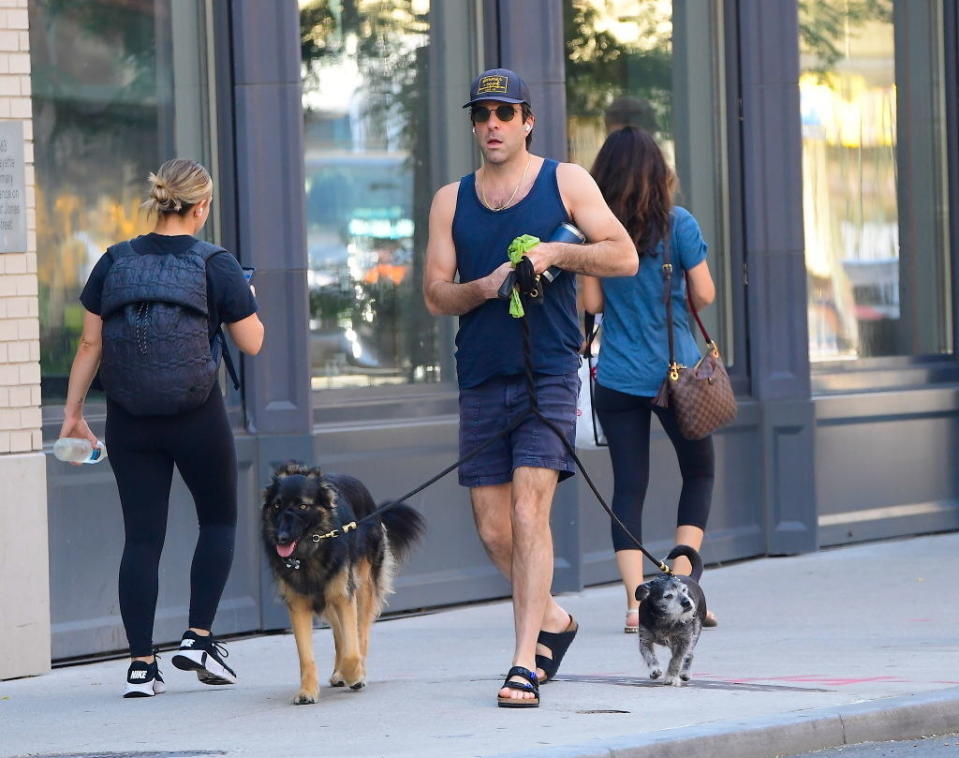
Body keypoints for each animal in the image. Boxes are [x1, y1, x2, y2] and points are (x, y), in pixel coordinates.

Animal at [264, 464, 426, 708]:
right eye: (276, 506)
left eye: (303, 506)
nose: (280, 538)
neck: (312, 551)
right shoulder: (299, 605)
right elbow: (306, 656)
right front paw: (307, 691)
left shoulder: (343, 595)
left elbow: (353, 647)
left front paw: (355, 674)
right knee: (341, 634)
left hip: (361, 588)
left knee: (360, 632)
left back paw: (354, 672)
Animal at [636, 548, 704, 688]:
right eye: (668, 596)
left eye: (684, 590)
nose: (687, 602)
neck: (666, 619)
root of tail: (692, 578)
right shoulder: (645, 639)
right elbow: (649, 655)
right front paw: (655, 670)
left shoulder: (684, 640)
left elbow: (676, 660)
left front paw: (672, 677)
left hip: (694, 633)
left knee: (689, 654)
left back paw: (684, 673)